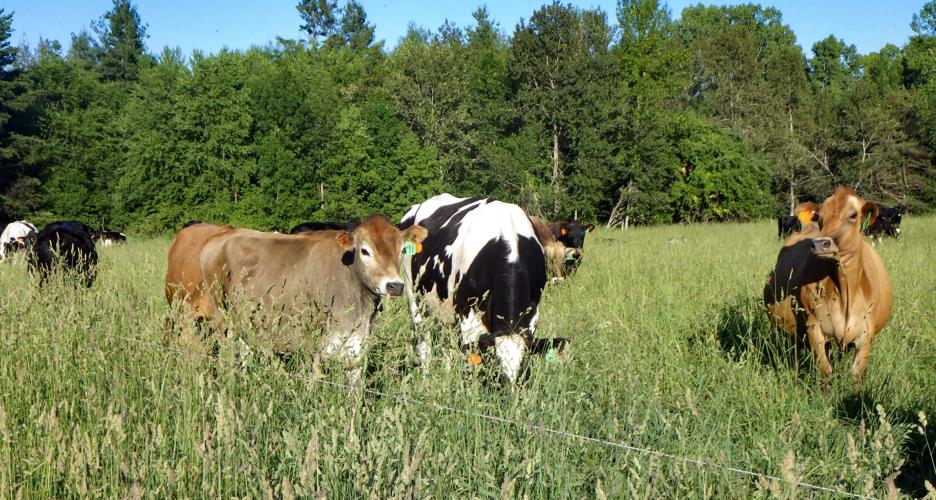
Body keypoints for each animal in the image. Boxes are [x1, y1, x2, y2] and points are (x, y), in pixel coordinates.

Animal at [195, 215, 426, 381]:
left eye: (402, 250)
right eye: (365, 251)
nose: (395, 285)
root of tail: (223, 234)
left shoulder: (358, 346)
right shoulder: (312, 343)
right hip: (223, 319)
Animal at [399, 194, 547, 384]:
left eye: (523, 363)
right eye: (497, 363)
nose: (511, 389)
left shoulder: (532, 314)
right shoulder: (468, 316)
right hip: (414, 297)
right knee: (423, 339)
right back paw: (426, 376)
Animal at [764, 187, 892, 388]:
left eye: (853, 215)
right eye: (819, 216)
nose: (819, 243)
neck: (846, 288)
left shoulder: (866, 333)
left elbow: (857, 375)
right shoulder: (814, 327)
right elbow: (825, 370)